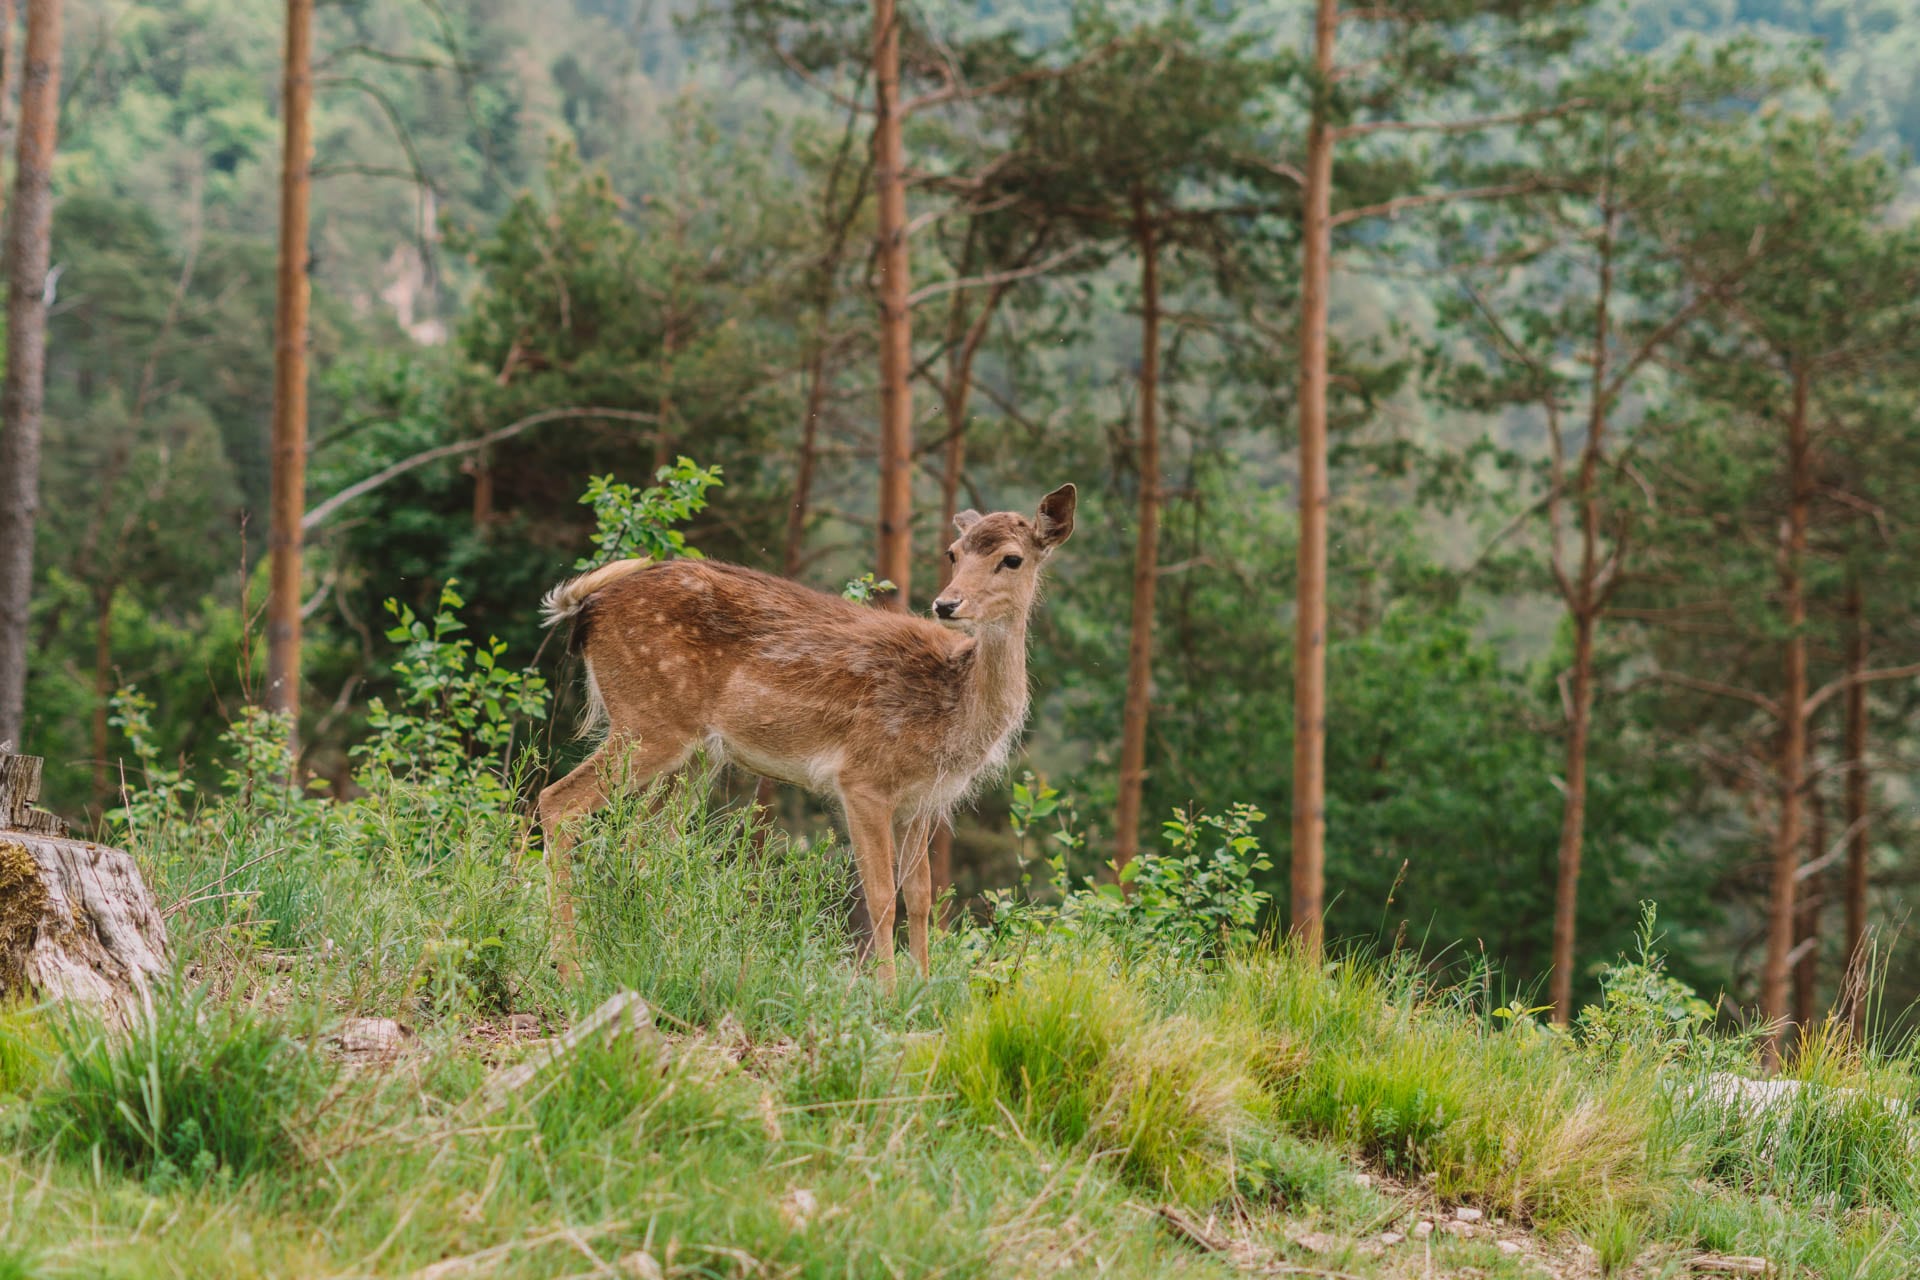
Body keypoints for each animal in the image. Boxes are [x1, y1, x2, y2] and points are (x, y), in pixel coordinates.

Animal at [537, 485, 1082, 990]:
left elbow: (922, 898)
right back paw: (572, 969)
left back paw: (657, 956)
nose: (946, 603)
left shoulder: (924, 801)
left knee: (645, 841)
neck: (951, 715)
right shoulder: (863, 779)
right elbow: (880, 897)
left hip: (696, 754)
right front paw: (886, 995)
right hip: (648, 721)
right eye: (954, 552)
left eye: (1011, 558)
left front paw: (922, 989)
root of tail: (586, 605)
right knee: (559, 801)